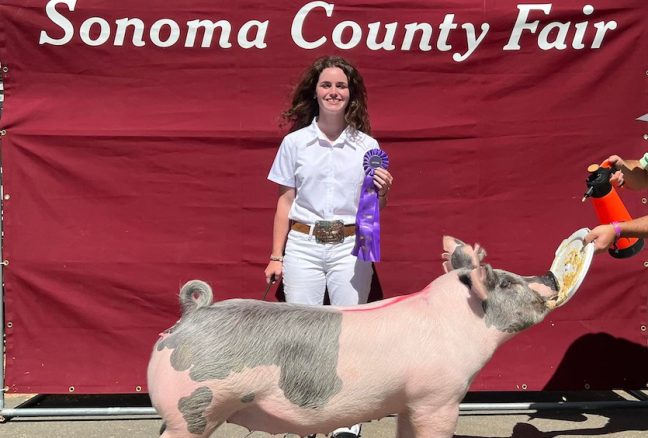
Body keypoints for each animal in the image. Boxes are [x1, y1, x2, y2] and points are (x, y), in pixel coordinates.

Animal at [146, 236, 556, 438]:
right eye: (506, 283)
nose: (549, 276)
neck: (456, 322)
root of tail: (194, 314)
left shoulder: (408, 402)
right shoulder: (438, 398)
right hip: (193, 408)